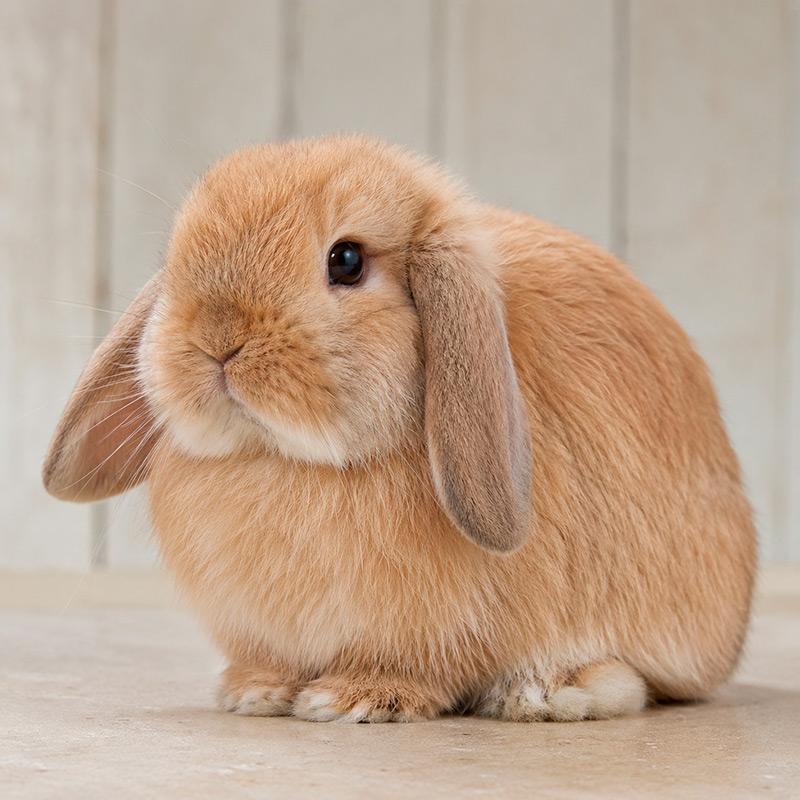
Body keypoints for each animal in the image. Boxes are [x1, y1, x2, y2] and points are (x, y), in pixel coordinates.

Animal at [43, 135, 756, 723]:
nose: (217, 338)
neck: (293, 460)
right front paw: (255, 690)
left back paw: (550, 692)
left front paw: (353, 699)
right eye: (176, 255)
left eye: (347, 261)